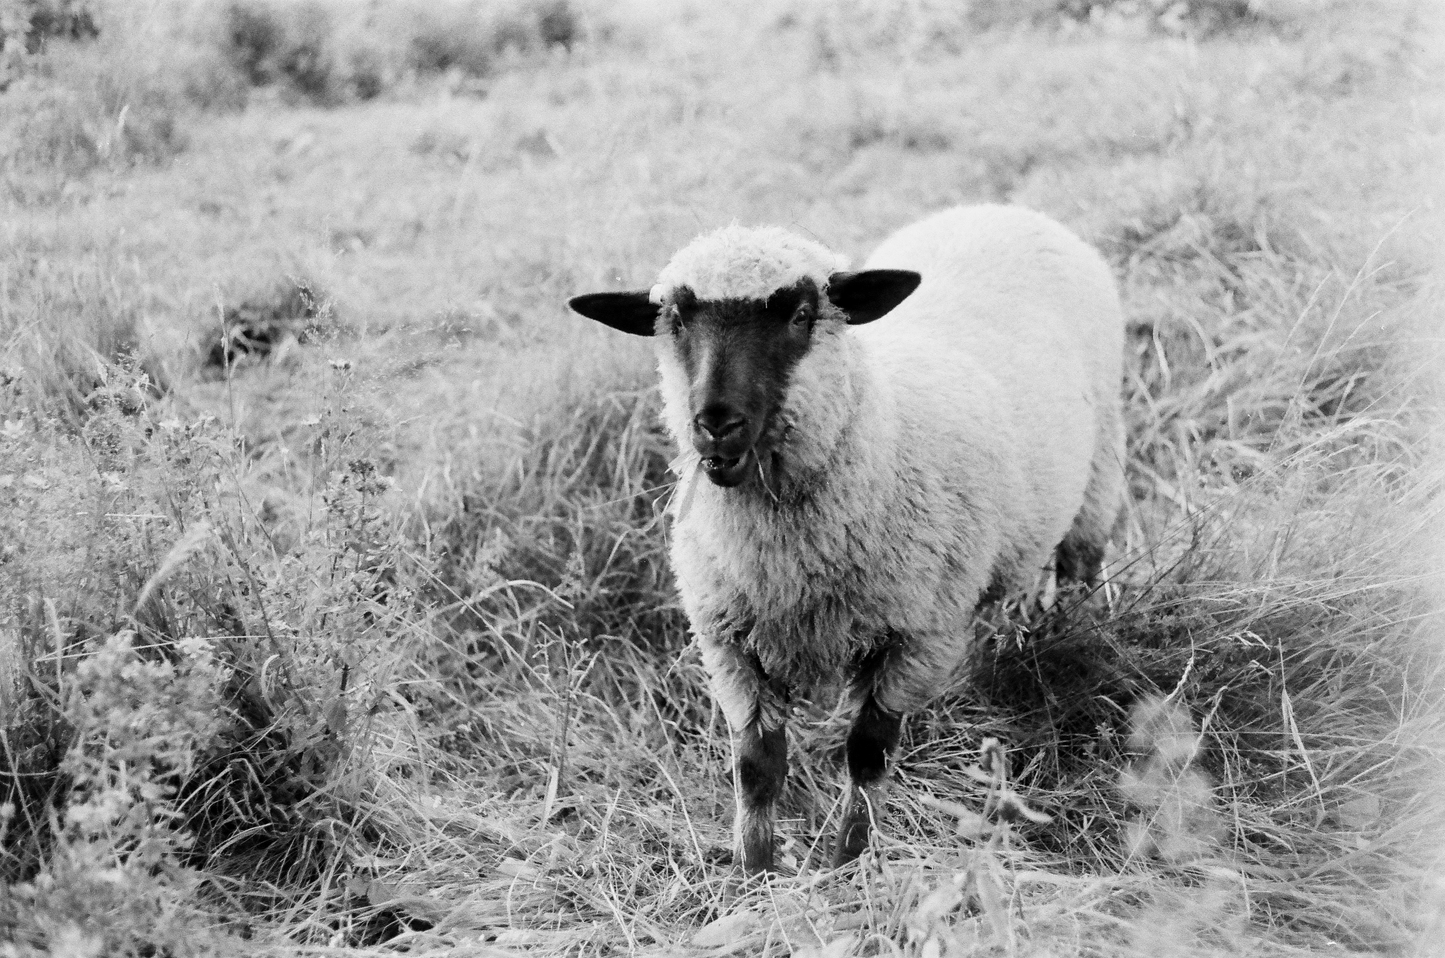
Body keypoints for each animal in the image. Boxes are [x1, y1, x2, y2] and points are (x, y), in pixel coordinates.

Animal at [568, 204, 1125, 874]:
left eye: (801, 316)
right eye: (673, 321)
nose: (715, 424)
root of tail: (1002, 210)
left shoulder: (918, 635)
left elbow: (867, 755)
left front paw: (850, 861)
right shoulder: (728, 641)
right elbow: (756, 767)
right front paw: (754, 873)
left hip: (1099, 473)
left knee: (1080, 569)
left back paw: (1074, 634)